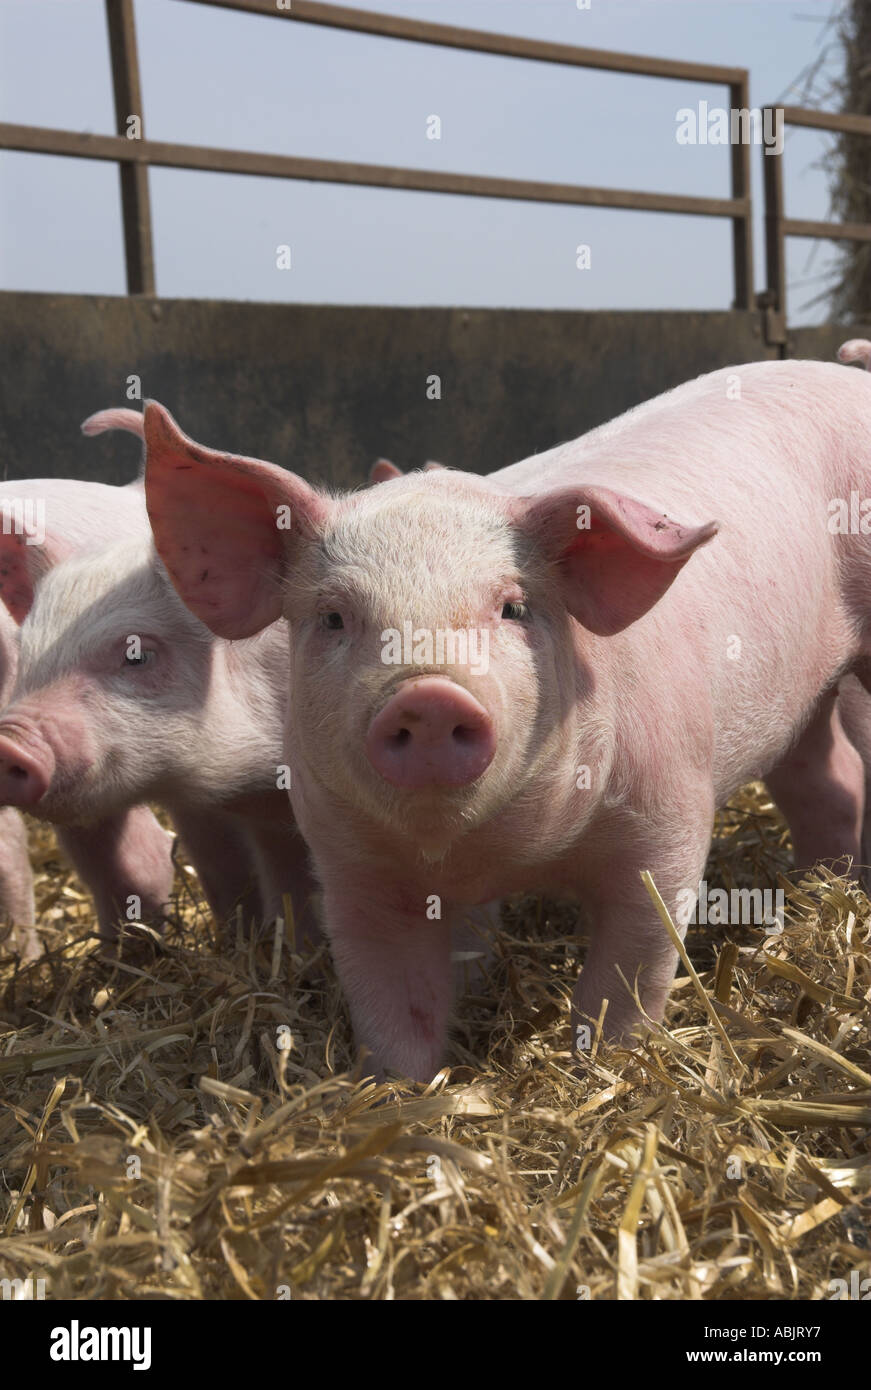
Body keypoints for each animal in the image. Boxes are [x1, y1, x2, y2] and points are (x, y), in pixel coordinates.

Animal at [140, 352, 871, 1080]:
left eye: (513, 607)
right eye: (333, 617)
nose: (427, 697)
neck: (496, 855)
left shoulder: (667, 814)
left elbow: (629, 968)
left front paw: (603, 1068)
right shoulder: (350, 866)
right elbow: (391, 999)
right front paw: (402, 1088)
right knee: (826, 783)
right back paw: (819, 887)